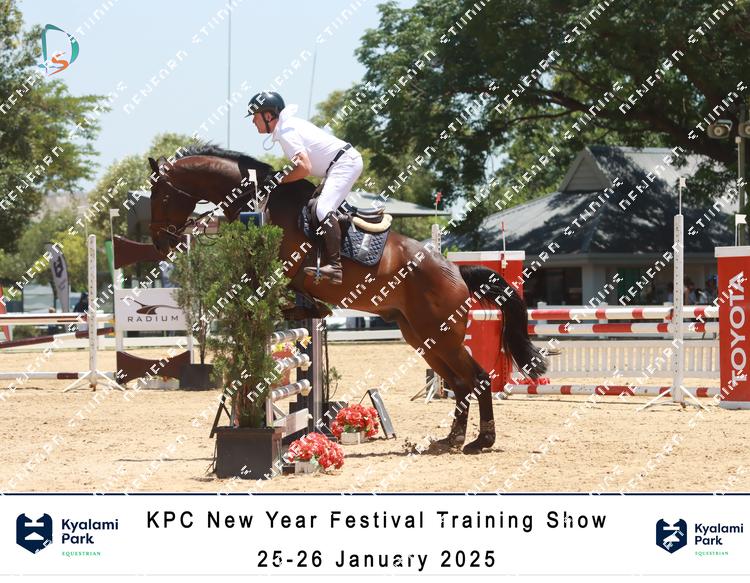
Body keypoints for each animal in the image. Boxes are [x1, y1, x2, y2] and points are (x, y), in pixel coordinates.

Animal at [147, 145, 549, 454]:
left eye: (161, 196)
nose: (160, 243)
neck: (261, 201)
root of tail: (455, 271)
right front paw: (303, 307)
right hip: (423, 337)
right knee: (462, 383)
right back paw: (450, 440)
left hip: (443, 335)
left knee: (477, 379)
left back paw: (480, 442)